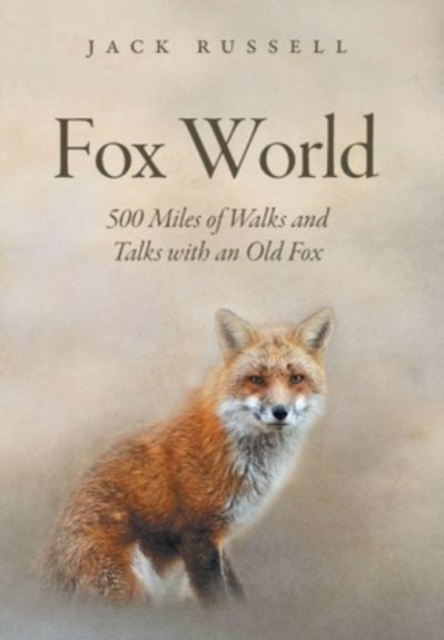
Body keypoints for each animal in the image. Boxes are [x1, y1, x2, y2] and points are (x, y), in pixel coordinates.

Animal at [41, 307, 333, 606]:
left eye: (296, 378)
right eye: (256, 379)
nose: (280, 411)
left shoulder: (219, 537)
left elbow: (234, 590)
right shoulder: (198, 532)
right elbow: (218, 598)